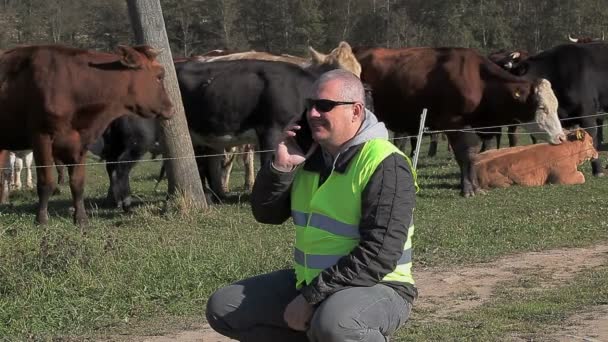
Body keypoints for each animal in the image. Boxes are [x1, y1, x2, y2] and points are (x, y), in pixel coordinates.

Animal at [0, 44, 173, 226]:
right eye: (160, 76)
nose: (171, 108)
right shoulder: (41, 137)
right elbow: (46, 182)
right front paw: (41, 219)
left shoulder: (81, 140)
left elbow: (78, 183)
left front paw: (81, 219)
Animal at [354, 47, 568, 198]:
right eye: (542, 108)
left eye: (555, 105)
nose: (561, 137)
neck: (478, 79)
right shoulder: (453, 124)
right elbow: (464, 155)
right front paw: (467, 189)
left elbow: (473, 155)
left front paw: (475, 187)